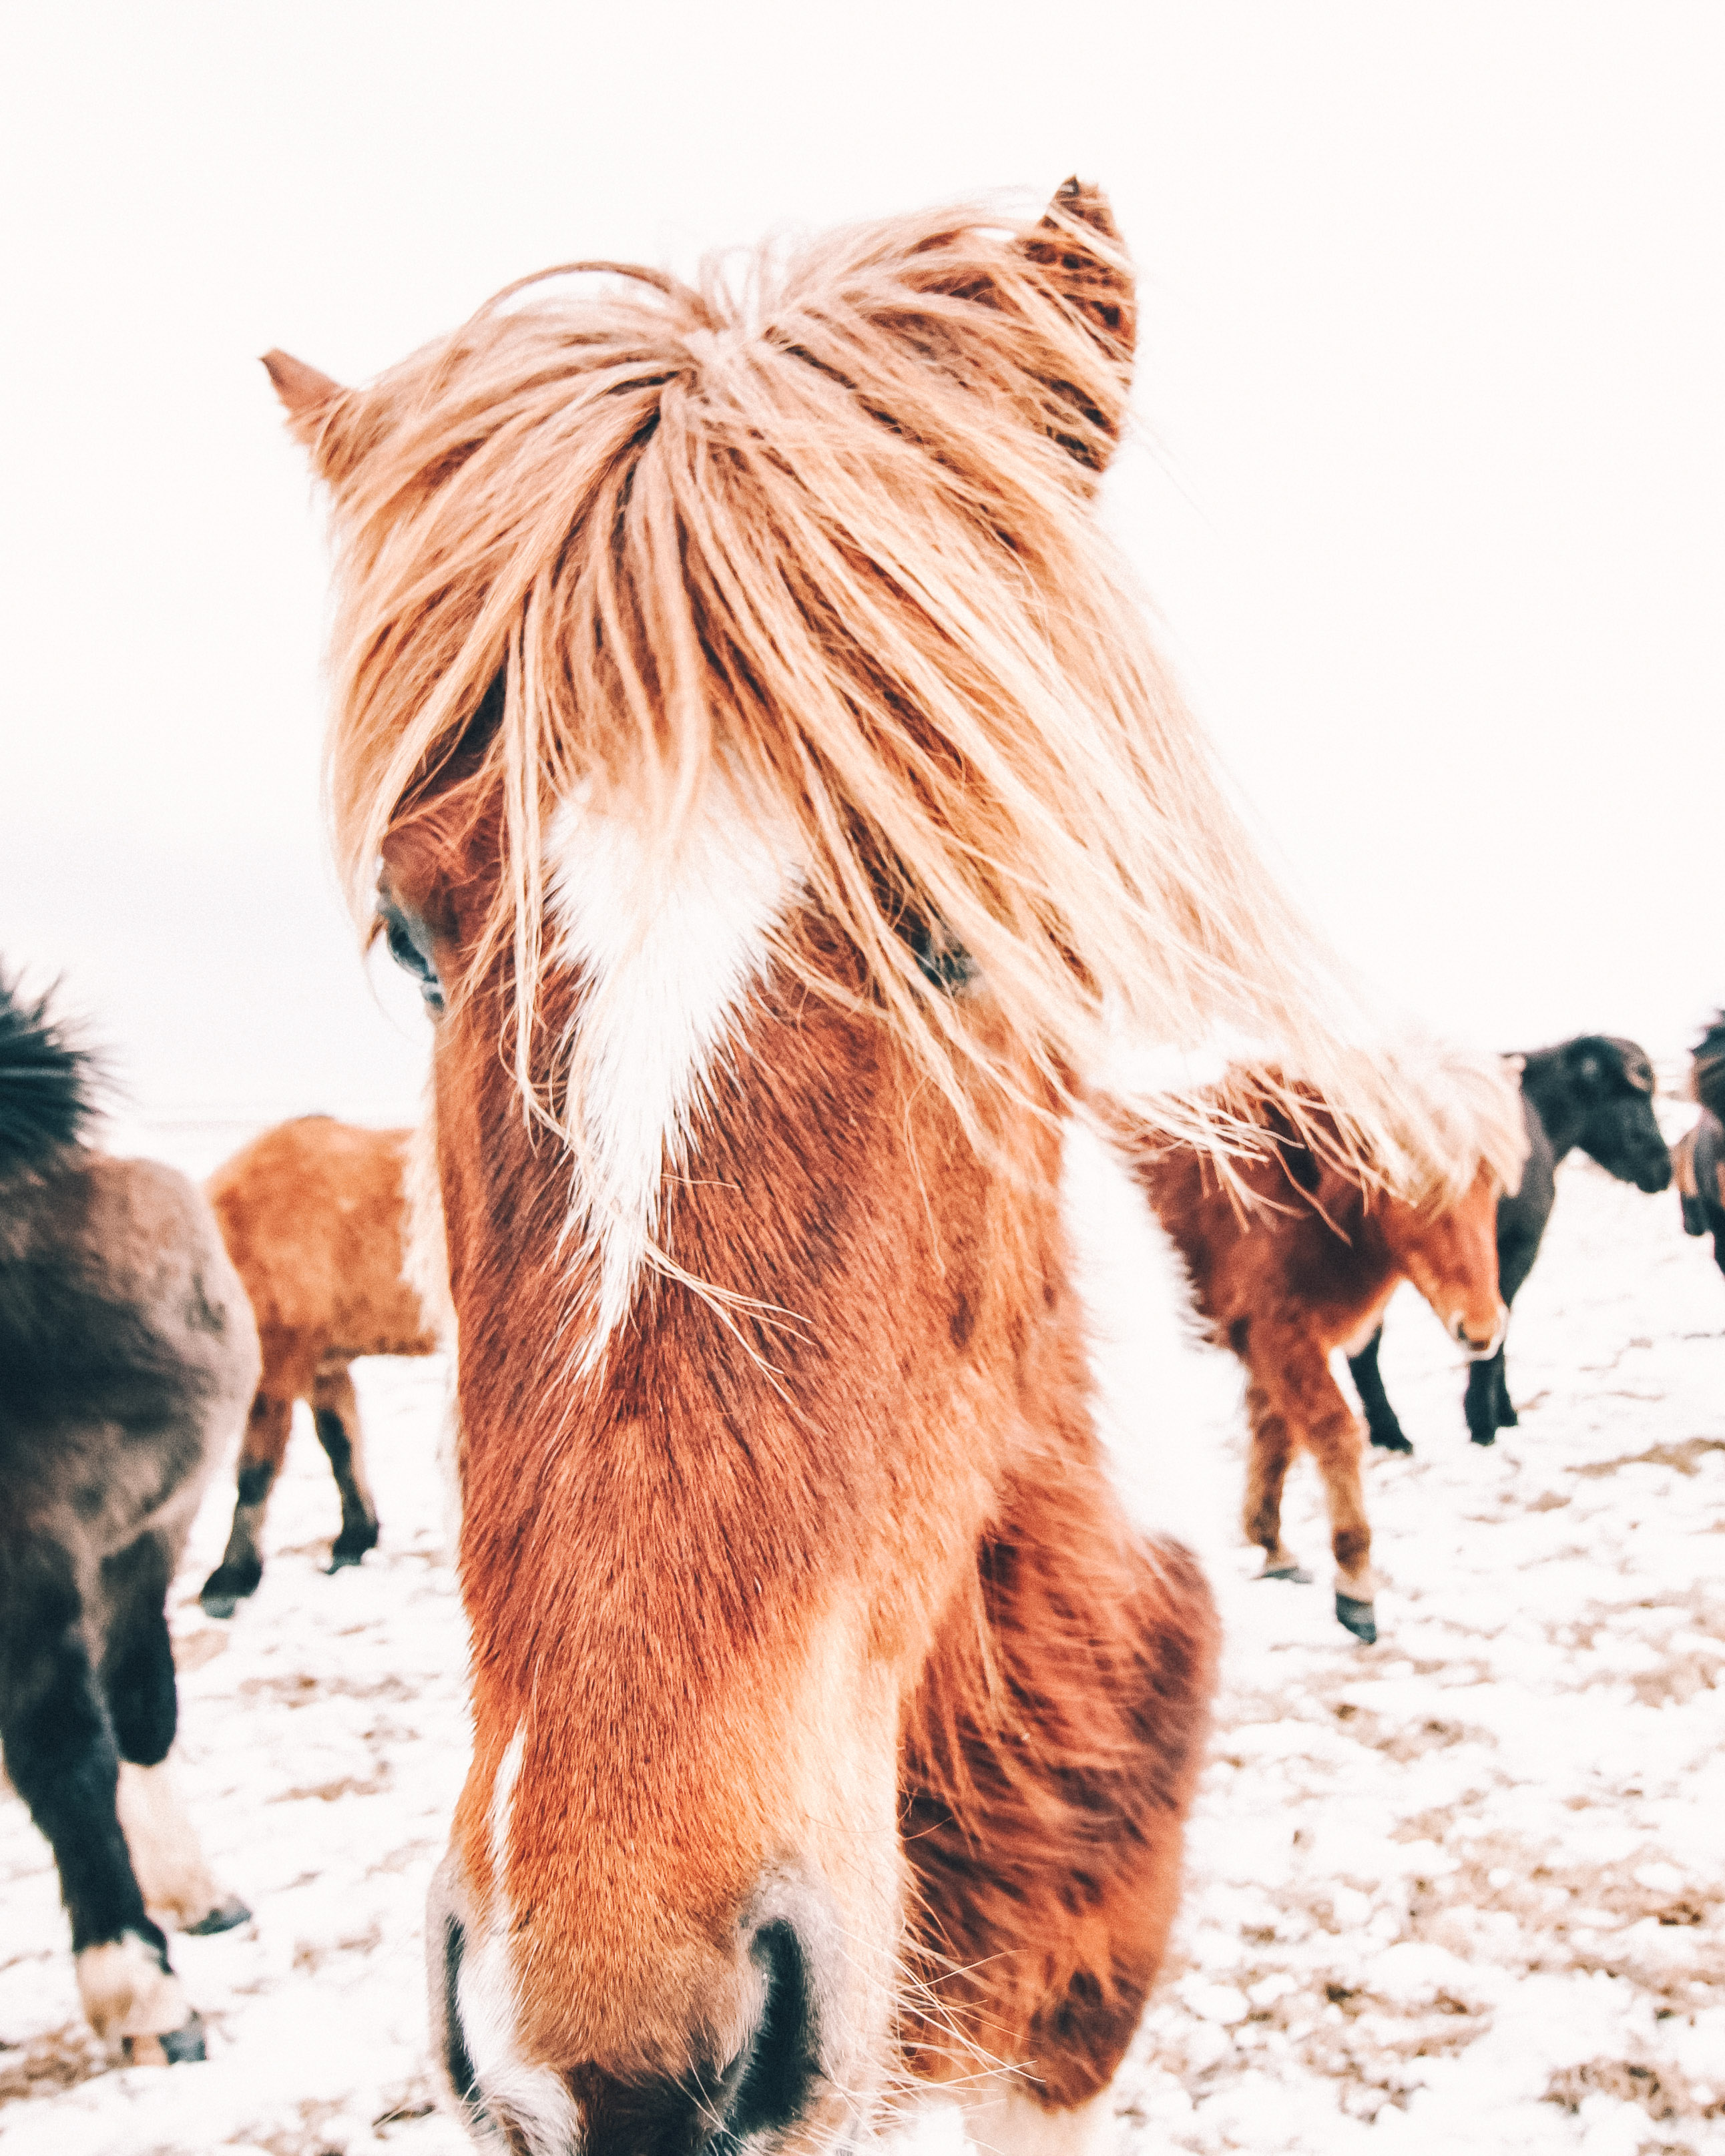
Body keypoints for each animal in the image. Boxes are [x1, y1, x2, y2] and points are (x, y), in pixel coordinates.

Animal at [197, 1116, 446, 1618]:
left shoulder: (276, 1370)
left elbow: (254, 1475)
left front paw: (232, 1578)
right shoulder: (323, 1370)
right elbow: (341, 1447)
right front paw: (355, 1538)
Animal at [1108, 1045, 1526, 1644]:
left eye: (1492, 1184)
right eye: (1414, 1187)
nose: (1483, 1330)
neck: (1290, 1194)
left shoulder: (1272, 1347)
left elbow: (1276, 1435)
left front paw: (1272, 1546)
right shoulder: (1281, 1336)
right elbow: (1335, 1434)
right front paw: (1355, 1589)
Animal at [1346, 1034, 1671, 1451]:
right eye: (1632, 1098)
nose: (1663, 1170)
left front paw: (1498, 1412)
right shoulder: (1517, 1250)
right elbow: (1494, 1338)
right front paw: (1485, 1421)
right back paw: (1392, 1434)